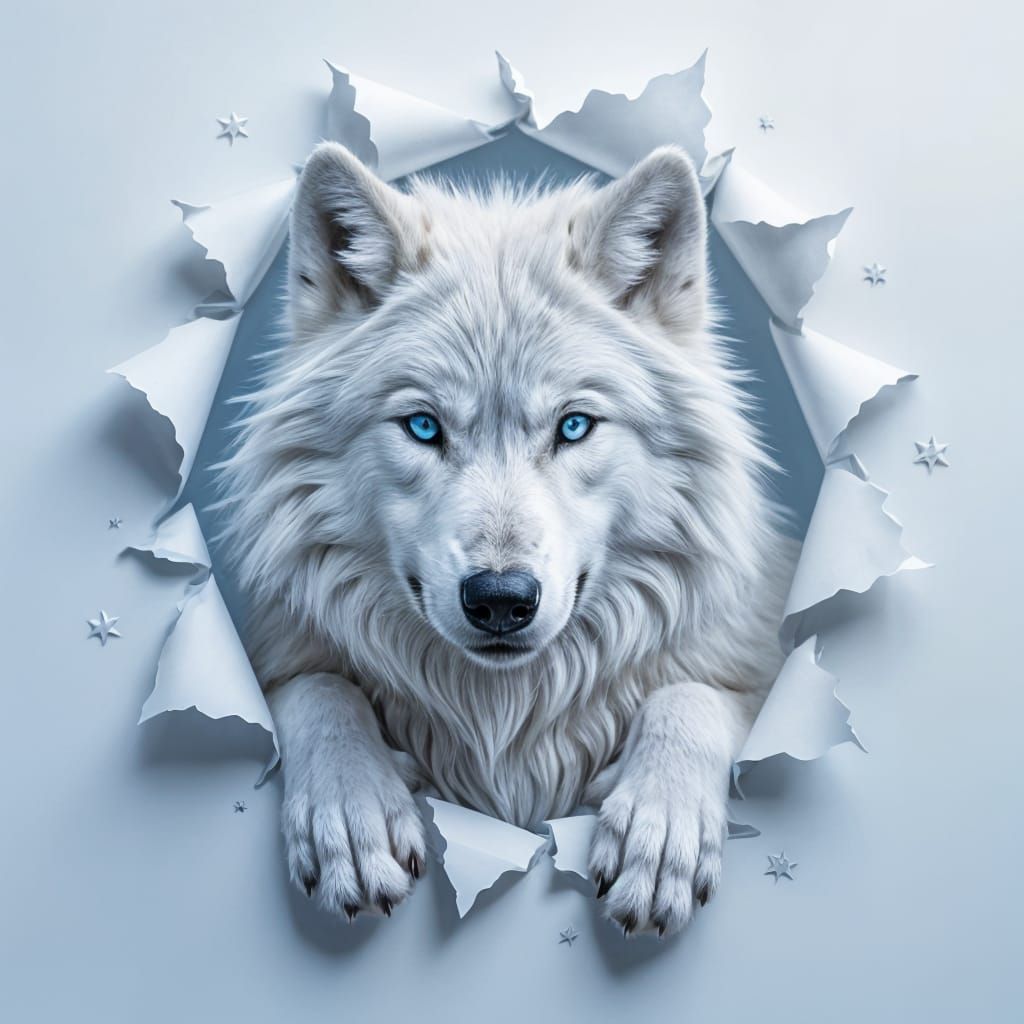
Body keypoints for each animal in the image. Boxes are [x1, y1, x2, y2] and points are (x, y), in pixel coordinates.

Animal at [218, 140, 795, 936]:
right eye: (423, 425)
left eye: (574, 425)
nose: (500, 600)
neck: (503, 721)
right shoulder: (276, 650)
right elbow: (320, 687)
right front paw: (351, 811)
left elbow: (693, 696)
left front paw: (660, 827)